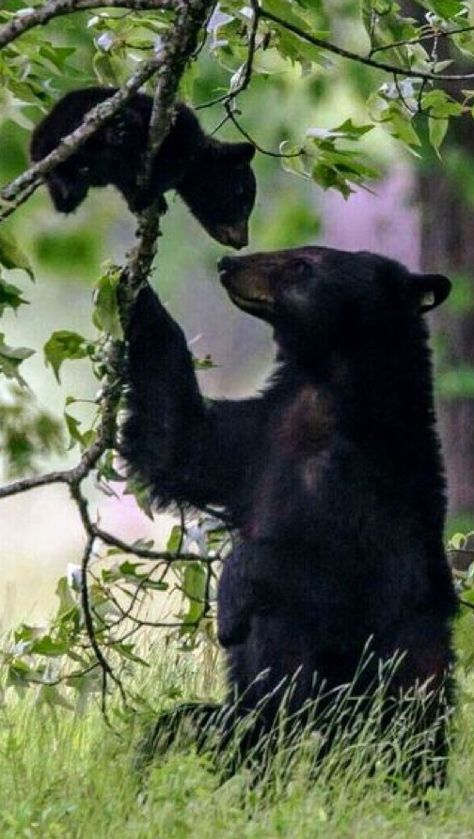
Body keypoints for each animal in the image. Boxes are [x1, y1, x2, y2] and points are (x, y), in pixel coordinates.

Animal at [30, 88, 256, 248]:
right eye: (243, 200)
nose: (243, 242)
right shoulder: (182, 127)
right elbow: (171, 165)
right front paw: (146, 196)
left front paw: (149, 200)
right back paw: (122, 131)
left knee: (69, 197)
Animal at [121, 246, 456, 784]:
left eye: (303, 264)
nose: (228, 264)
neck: (325, 391)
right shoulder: (259, 438)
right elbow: (179, 441)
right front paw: (135, 291)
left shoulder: (383, 492)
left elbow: (345, 579)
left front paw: (231, 601)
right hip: (241, 722)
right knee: (192, 727)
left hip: (391, 710)